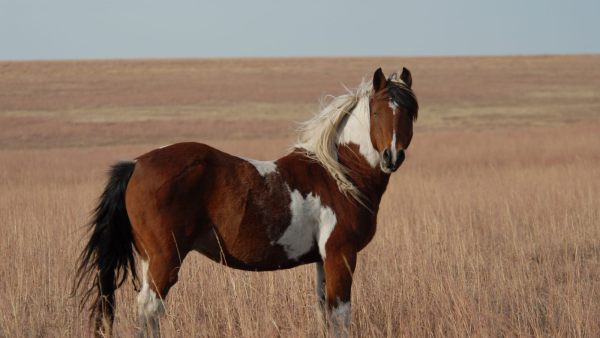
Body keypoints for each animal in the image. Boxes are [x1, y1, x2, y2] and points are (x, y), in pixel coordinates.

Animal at [74, 65, 418, 336]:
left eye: (410, 113)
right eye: (377, 112)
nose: (392, 156)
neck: (338, 175)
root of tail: (136, 164)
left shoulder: (323, 259)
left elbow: (325, 312)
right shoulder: (341, 254)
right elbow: (341, 316)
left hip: (148, 259)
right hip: (164, 259)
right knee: (150, 310)